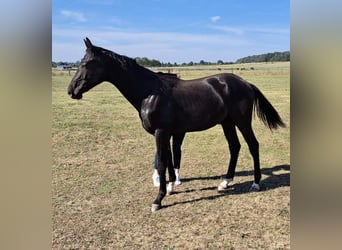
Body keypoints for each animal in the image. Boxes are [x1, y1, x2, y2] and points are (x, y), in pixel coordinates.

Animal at [67, 38, 286, 212]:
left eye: (86, 63)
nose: (71, 91)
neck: (150, 92)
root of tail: (246, 83)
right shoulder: (168, 133)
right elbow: (169, 159)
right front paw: (172, 187)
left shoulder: (161, 132)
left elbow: (163, 162)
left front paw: (158, 200)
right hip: (227, 122)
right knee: (235, 147)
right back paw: (225, 182)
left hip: (241, 121)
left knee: (253, 145)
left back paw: (256, 183)